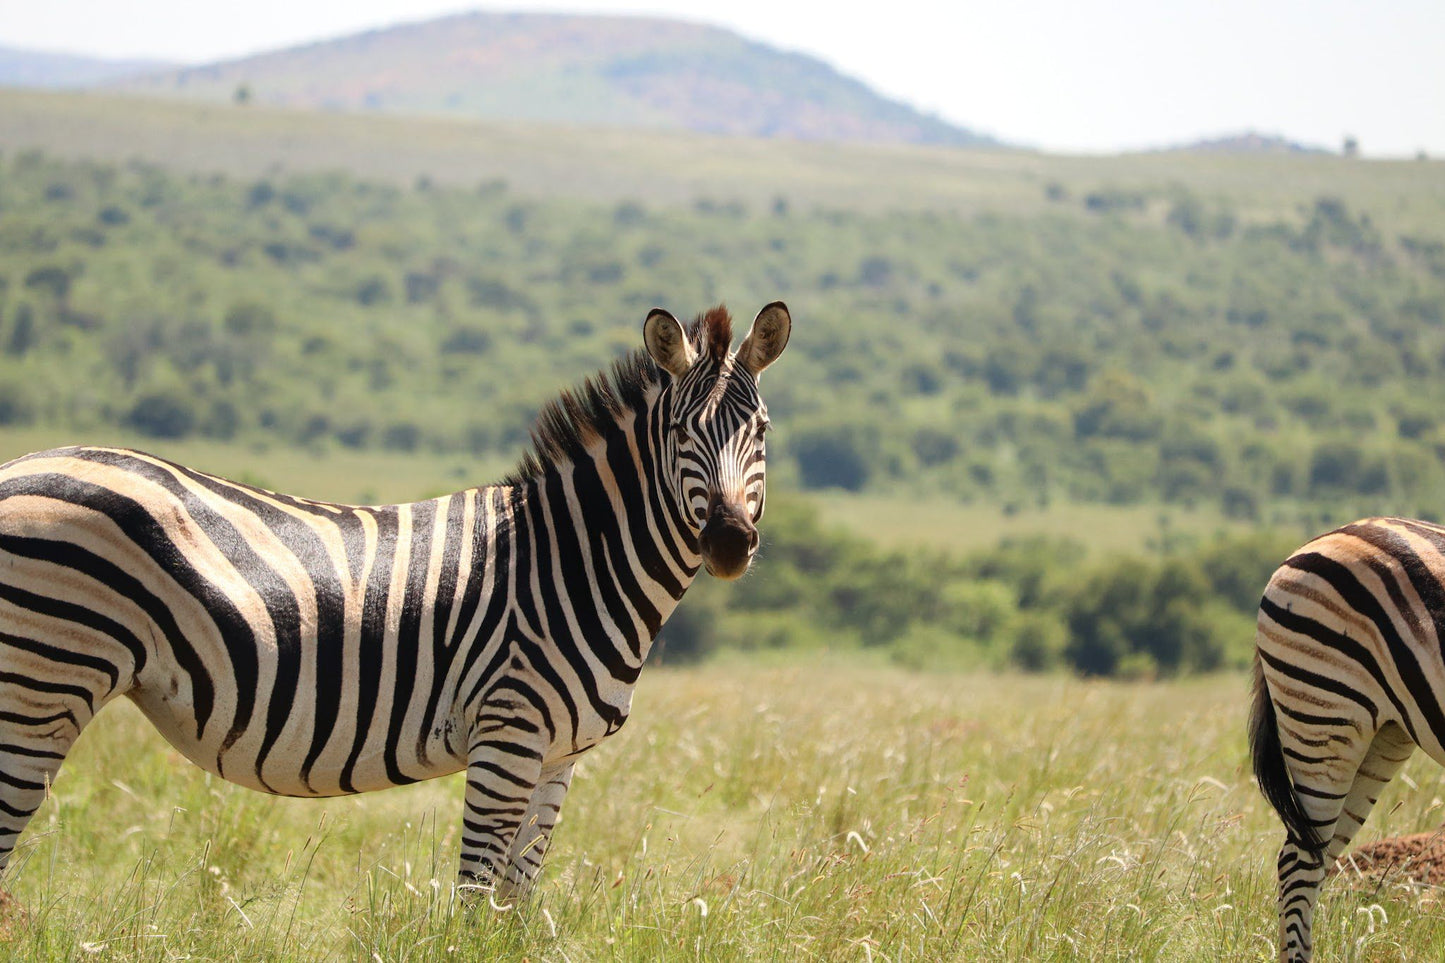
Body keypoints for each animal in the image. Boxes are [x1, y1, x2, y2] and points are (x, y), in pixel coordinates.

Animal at [0, 300, 791, 902]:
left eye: (760, 432)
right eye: (679, 432)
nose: (728, 542)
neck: (573, 560)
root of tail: (20, 465)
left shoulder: (558, 757)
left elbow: (515, 902)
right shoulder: (507, 734)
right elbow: (474, 898)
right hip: (42, 683)